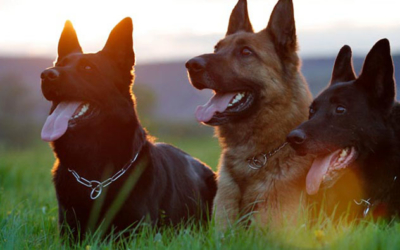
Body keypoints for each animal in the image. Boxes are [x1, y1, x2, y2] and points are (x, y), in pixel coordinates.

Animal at [39, 17, 217, 240]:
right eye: (60, 65)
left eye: (88, 68)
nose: (46, 74)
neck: (94, 178)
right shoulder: (70, 232)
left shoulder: (135, 233)